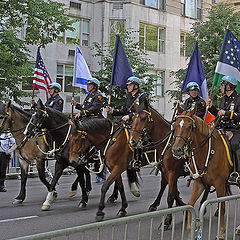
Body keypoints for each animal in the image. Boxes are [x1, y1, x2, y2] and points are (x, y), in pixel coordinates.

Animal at [172, 106, 232, 239]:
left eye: (189, 126)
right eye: (176, 125)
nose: (176, 150)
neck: (207, 152)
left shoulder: (220, 184)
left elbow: (222, 206)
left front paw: (221, 232)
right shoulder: (199, 183)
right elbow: (190, 204)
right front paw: (190, 230)